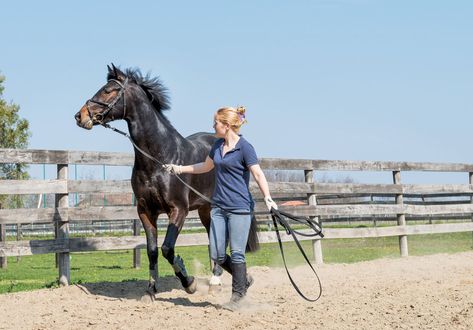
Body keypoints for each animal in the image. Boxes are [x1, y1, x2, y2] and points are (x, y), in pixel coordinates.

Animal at [74, 63, 258, 296]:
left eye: (108, 90)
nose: (80, 116)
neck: (159, 159)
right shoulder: (145, 211)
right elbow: (152, 250)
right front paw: (151, 289)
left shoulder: (178, 210)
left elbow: (167, 249)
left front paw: (189, 282)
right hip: (206, 210)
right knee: (213, 240)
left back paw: (221, 280)